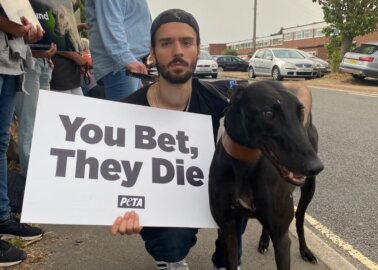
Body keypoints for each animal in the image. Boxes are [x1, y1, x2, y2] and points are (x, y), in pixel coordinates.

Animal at [208, 80, 324, 270]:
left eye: (300, 112)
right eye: (268, 114)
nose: (316, 167)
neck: (245, 164)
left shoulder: (282, 238)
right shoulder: (227, 227)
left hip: (309, 189)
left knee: (299, 218)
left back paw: (305, 251)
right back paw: (264, 241)